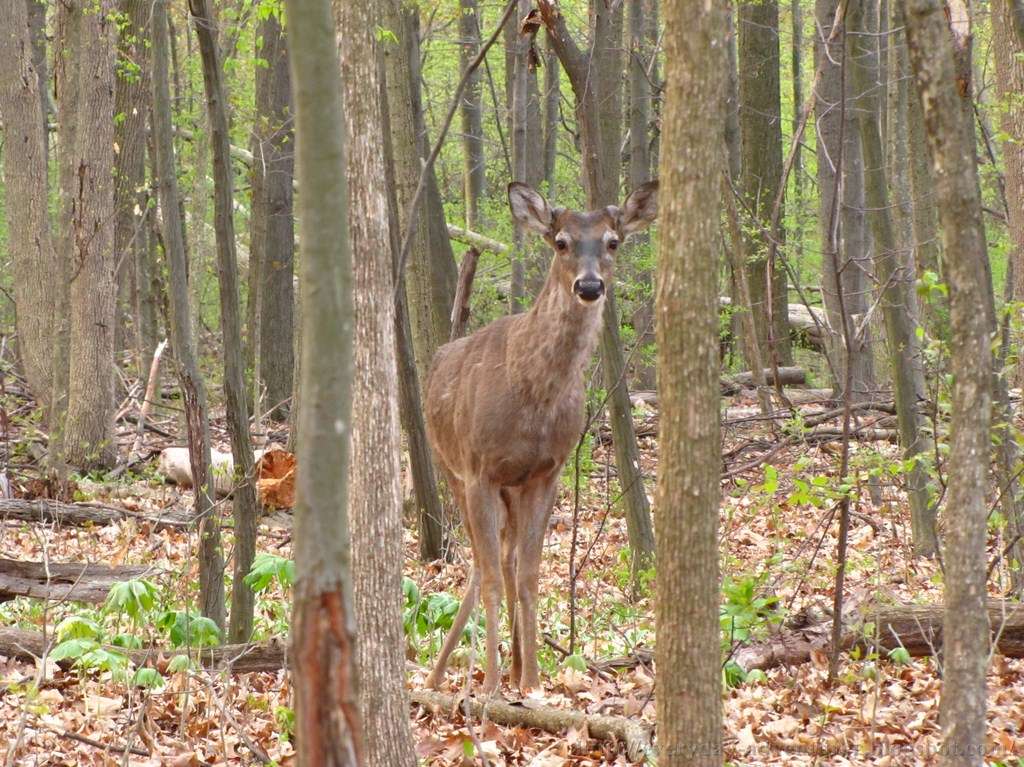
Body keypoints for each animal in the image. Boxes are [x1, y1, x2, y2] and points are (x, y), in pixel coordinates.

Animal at [423, 179, 659, 694]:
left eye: (614, 241)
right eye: (561, 242)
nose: (589, 286)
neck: (533, 396)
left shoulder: (546, 472)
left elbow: (530, 574)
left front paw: (530, 680)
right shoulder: (479, 470)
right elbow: (493, 576)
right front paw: (491, 685)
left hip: (508, 488)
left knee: (507, 559)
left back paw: (505, 668)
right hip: (449, 466)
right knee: (481, 564)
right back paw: (441, 674)